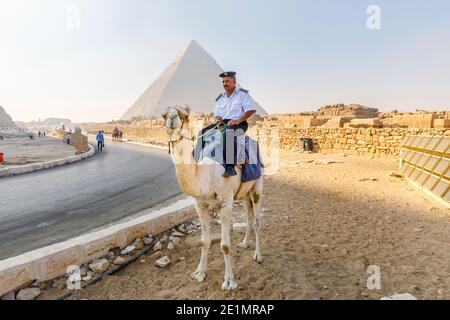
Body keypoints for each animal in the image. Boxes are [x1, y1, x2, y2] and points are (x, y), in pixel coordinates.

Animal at [163, 106, 264, 292]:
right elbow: (204, 241)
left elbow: (225, 245)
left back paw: (258, 256)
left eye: (185, 116)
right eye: (164, 115)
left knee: (257, 220)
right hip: (243, 194)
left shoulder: (226, 204)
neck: (207, 174)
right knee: (249, 215)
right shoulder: (200, 205)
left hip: (258, 185)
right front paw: (199, 273)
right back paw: (244, 243)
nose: (172, 117)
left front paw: (230, 282)